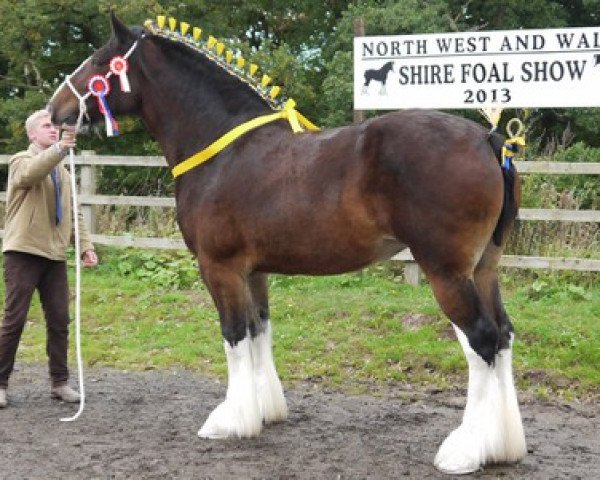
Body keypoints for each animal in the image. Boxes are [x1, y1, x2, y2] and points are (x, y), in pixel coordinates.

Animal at [48, 13, 524, 474]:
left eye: (99, 63)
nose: (55, 112)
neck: (223, 148)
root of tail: (488, 139)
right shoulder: (253, 271)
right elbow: (259, 329)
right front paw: (264, 411)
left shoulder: (218, 267)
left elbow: (234, 335)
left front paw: (230, 421)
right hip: (483, 269)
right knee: (502, 336)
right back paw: (502, 446)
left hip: (447, 272)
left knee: (481, 340)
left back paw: (465, 452)